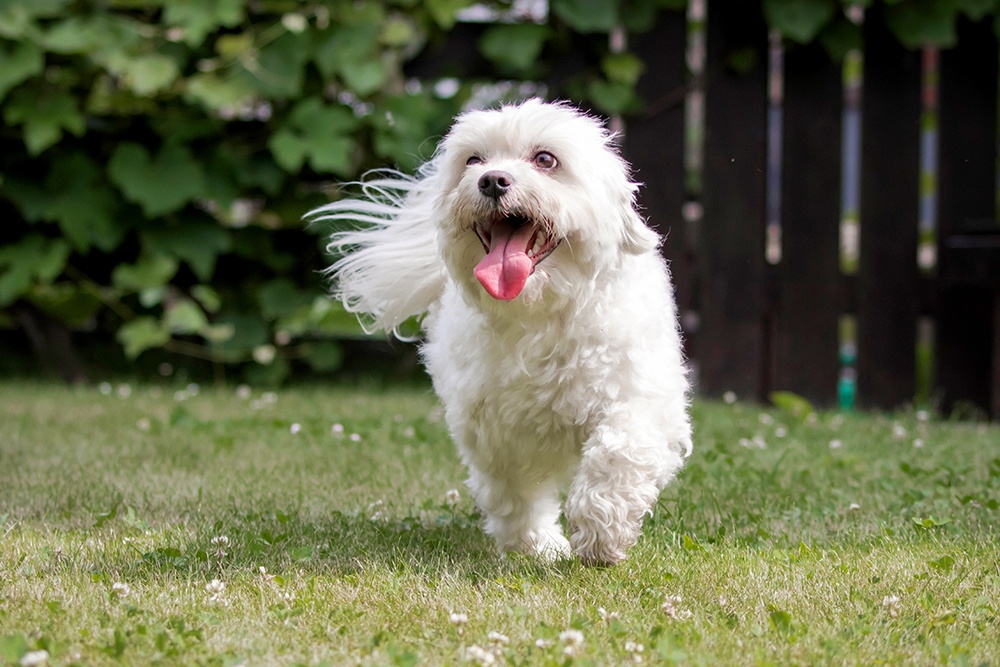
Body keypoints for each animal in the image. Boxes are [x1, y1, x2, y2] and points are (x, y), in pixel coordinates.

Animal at [312, 99, 688, 568]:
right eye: (473, 160)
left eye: (546, 159)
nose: (492, 179)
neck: (539, 314)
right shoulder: (496, 433)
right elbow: (513, 492)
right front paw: (536, 544)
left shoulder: (640, 399)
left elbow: (618, 453)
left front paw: (602, 534)